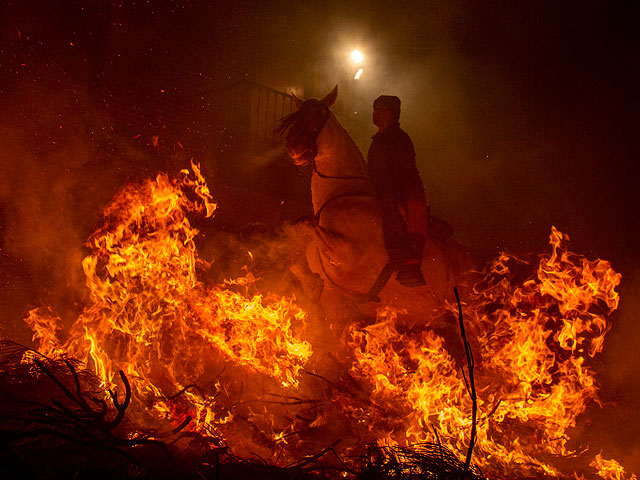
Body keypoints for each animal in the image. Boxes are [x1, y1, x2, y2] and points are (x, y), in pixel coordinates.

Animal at [278, 86, 472, 332]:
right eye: (297, 115)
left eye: (318, 113)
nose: (293, 144)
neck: (344, 193)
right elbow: (296, 246)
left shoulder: (345, 251)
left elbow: (304, 224)